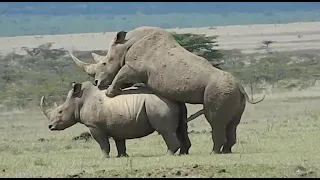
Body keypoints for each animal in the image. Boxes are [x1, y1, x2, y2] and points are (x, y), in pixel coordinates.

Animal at [40, 81, 202, 158]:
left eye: (60, 112)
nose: (50, 126)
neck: (79, 100)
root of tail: (174, 99)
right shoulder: (117, 124)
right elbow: (120, 142)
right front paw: (122, 156)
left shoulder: (94, 126)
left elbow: (103, 143)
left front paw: (104, 158)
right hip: (173, 103)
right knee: (181, 128)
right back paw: (183, 153)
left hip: (158, 104)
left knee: (165, 130)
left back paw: (167, 155)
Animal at [68, 26, 264, 154]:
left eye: (104, 63)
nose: (97, 82)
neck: (125, 44)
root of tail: (240, 86)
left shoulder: (133, 67)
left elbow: (121, 76)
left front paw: (109, 93)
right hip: (233, 93)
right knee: (232, 123)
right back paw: (226, 152)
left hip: (218, 88)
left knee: (214, 120)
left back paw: (214, 153)